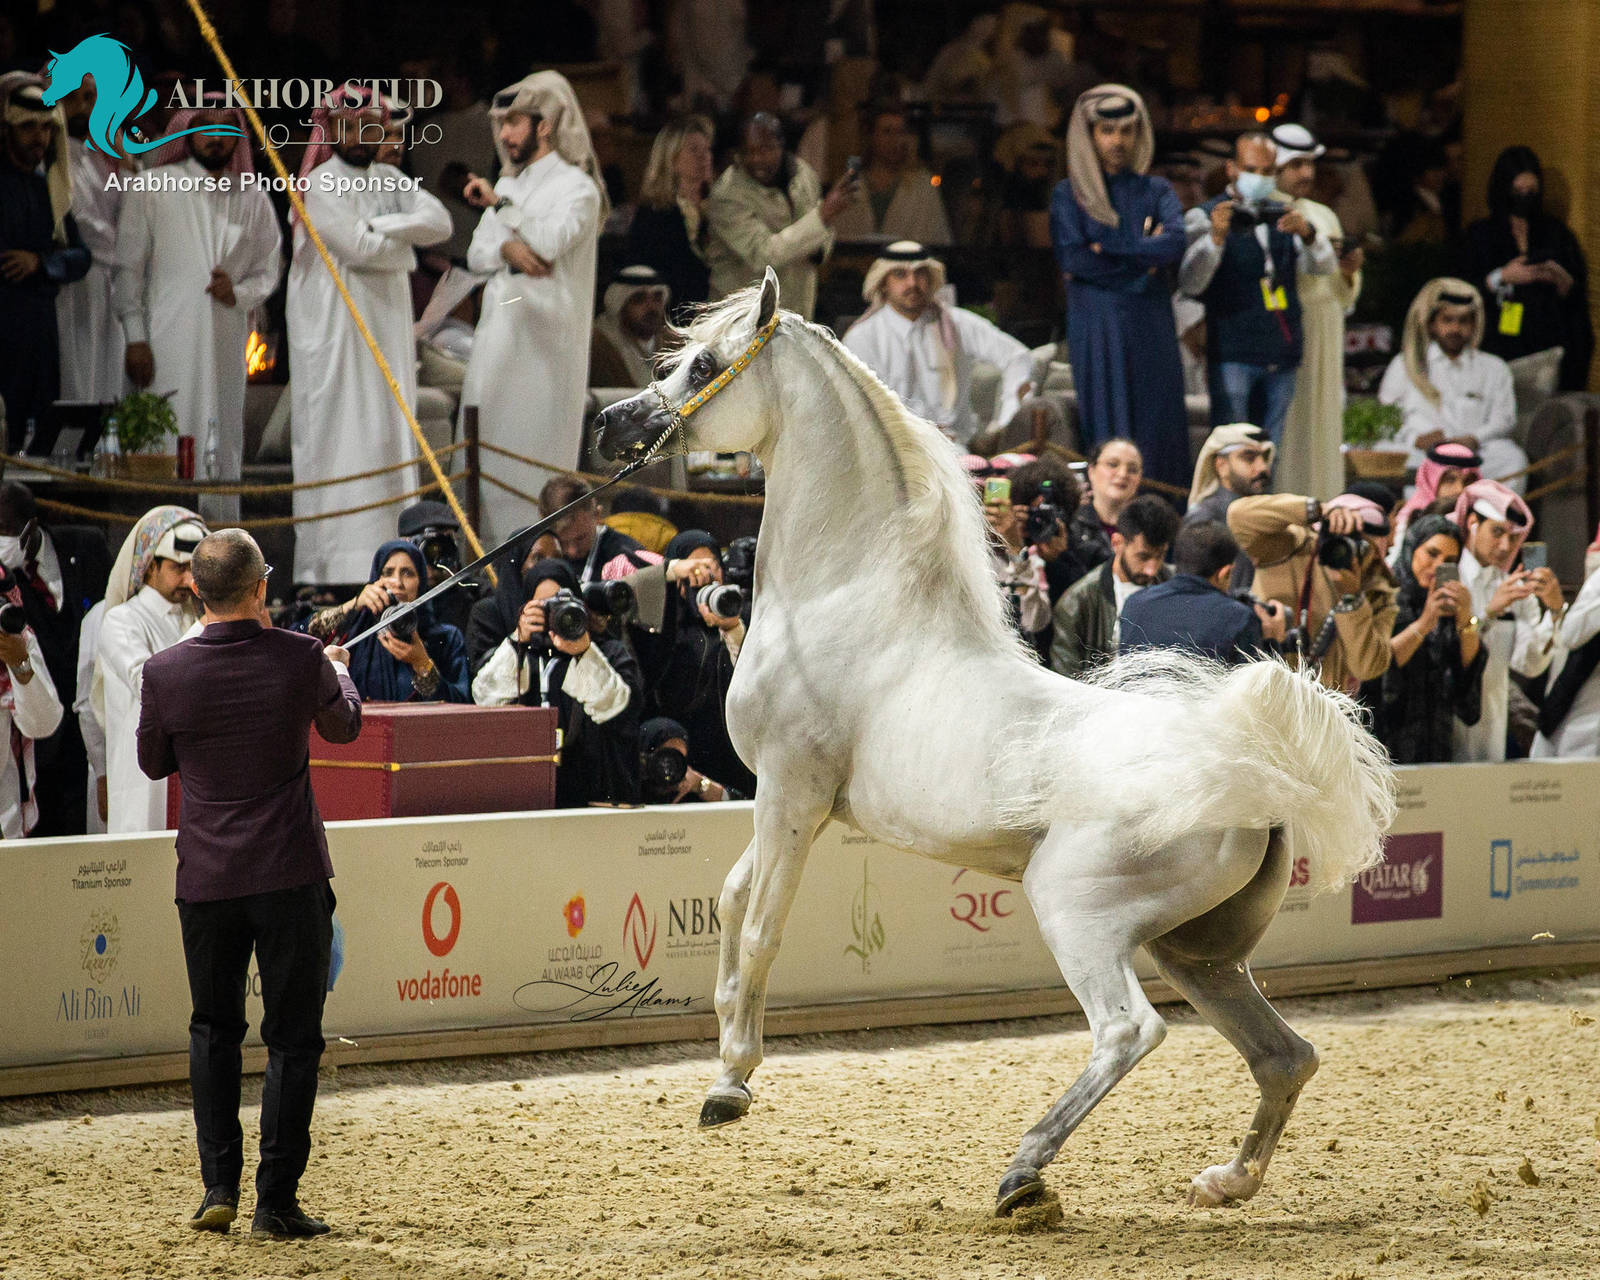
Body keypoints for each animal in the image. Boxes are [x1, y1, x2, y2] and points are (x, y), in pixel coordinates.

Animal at [593, 268, 1395, 1216]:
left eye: (706, 365)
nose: (614, 425)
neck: (845, 599)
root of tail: (1249, 771)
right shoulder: (798, 806)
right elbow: (727, 901)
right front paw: (727, 1071)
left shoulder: (793, 792)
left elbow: (761, 929)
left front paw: (732, 1087)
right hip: (1195, 950)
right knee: (1284, 1056)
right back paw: (1224, 1181)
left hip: (1077, 913)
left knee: (1130, 1031)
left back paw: (1024, 1172)